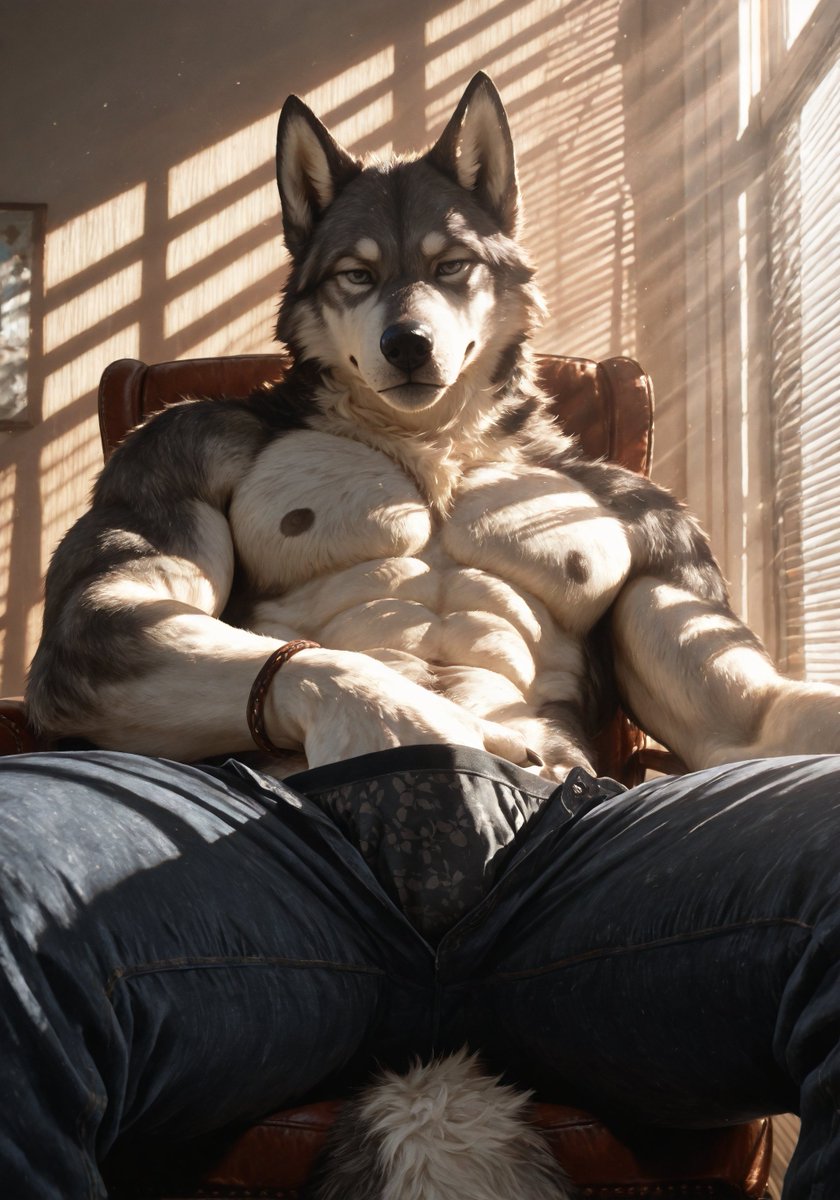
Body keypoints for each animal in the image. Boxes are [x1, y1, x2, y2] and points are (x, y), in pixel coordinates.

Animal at [26, 72, 840, 1197]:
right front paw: (402, 720)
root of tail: (433, 1048)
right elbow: (113, 617)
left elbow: (743, 716)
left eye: (454, 266)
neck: (430, 443)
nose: (409, 341)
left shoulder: (651, 517)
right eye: (358, 275)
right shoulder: (176, 449)